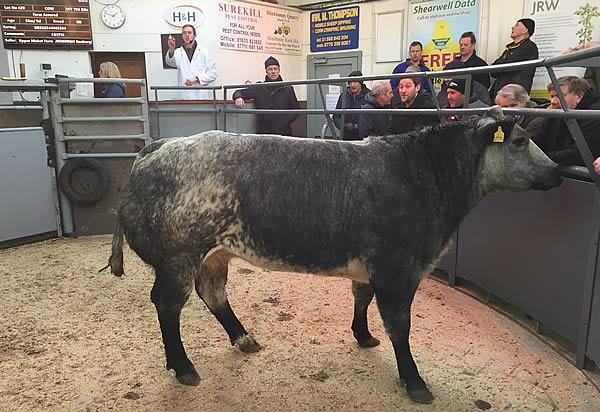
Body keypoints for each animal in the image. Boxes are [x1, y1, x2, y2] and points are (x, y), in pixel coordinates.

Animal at [105, 106, 560, 402]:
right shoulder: (398, 267)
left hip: (213, 254)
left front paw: (363, 336)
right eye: (520, 141)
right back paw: (184, 367)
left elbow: (362, 299)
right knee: (168, 305)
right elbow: (399, 324)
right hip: (178, 257)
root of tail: (158, 146)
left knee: (213, 294)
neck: (421, 173)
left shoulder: (374, 267)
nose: (558, 171)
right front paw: (415, 383)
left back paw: (244, 338)